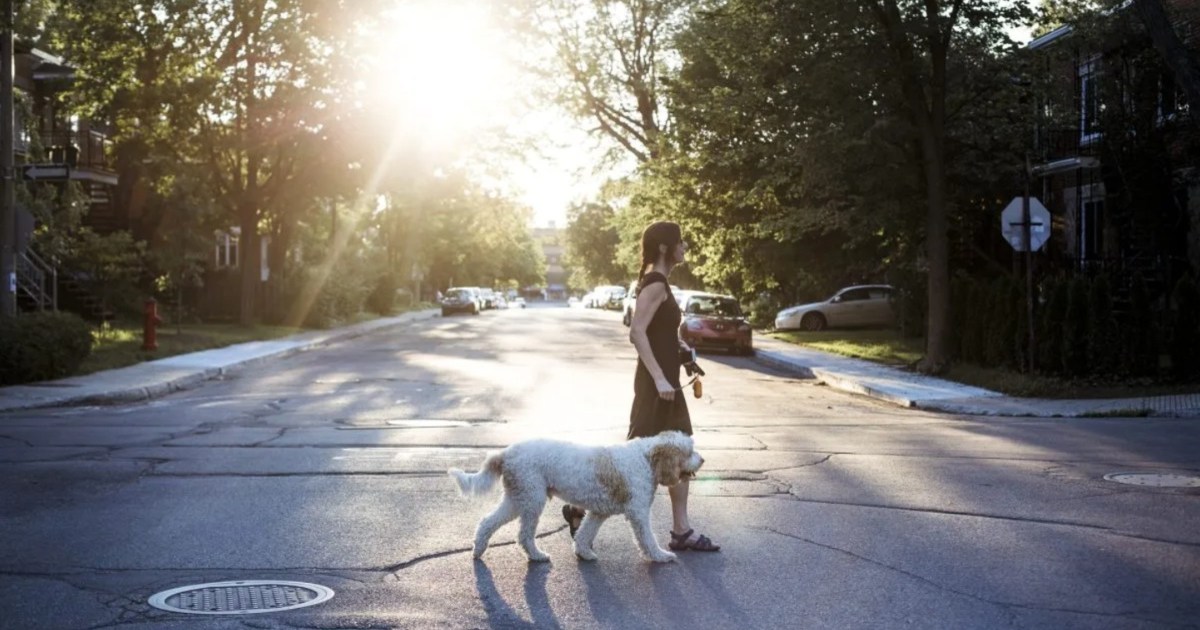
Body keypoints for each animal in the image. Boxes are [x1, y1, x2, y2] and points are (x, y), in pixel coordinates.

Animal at [446, 432, 700, 559]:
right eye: (689, 452)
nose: (703, 460)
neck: (646, 459)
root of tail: (506, 452)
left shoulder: (599, 512)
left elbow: (585, 533)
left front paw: (584, 553)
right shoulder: (638, 514)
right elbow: (648, 539)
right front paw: (660, 556)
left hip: (517, 498)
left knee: (488, 522)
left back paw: (478, 550)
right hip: (531, 500)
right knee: (524, 535)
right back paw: (537, 555)